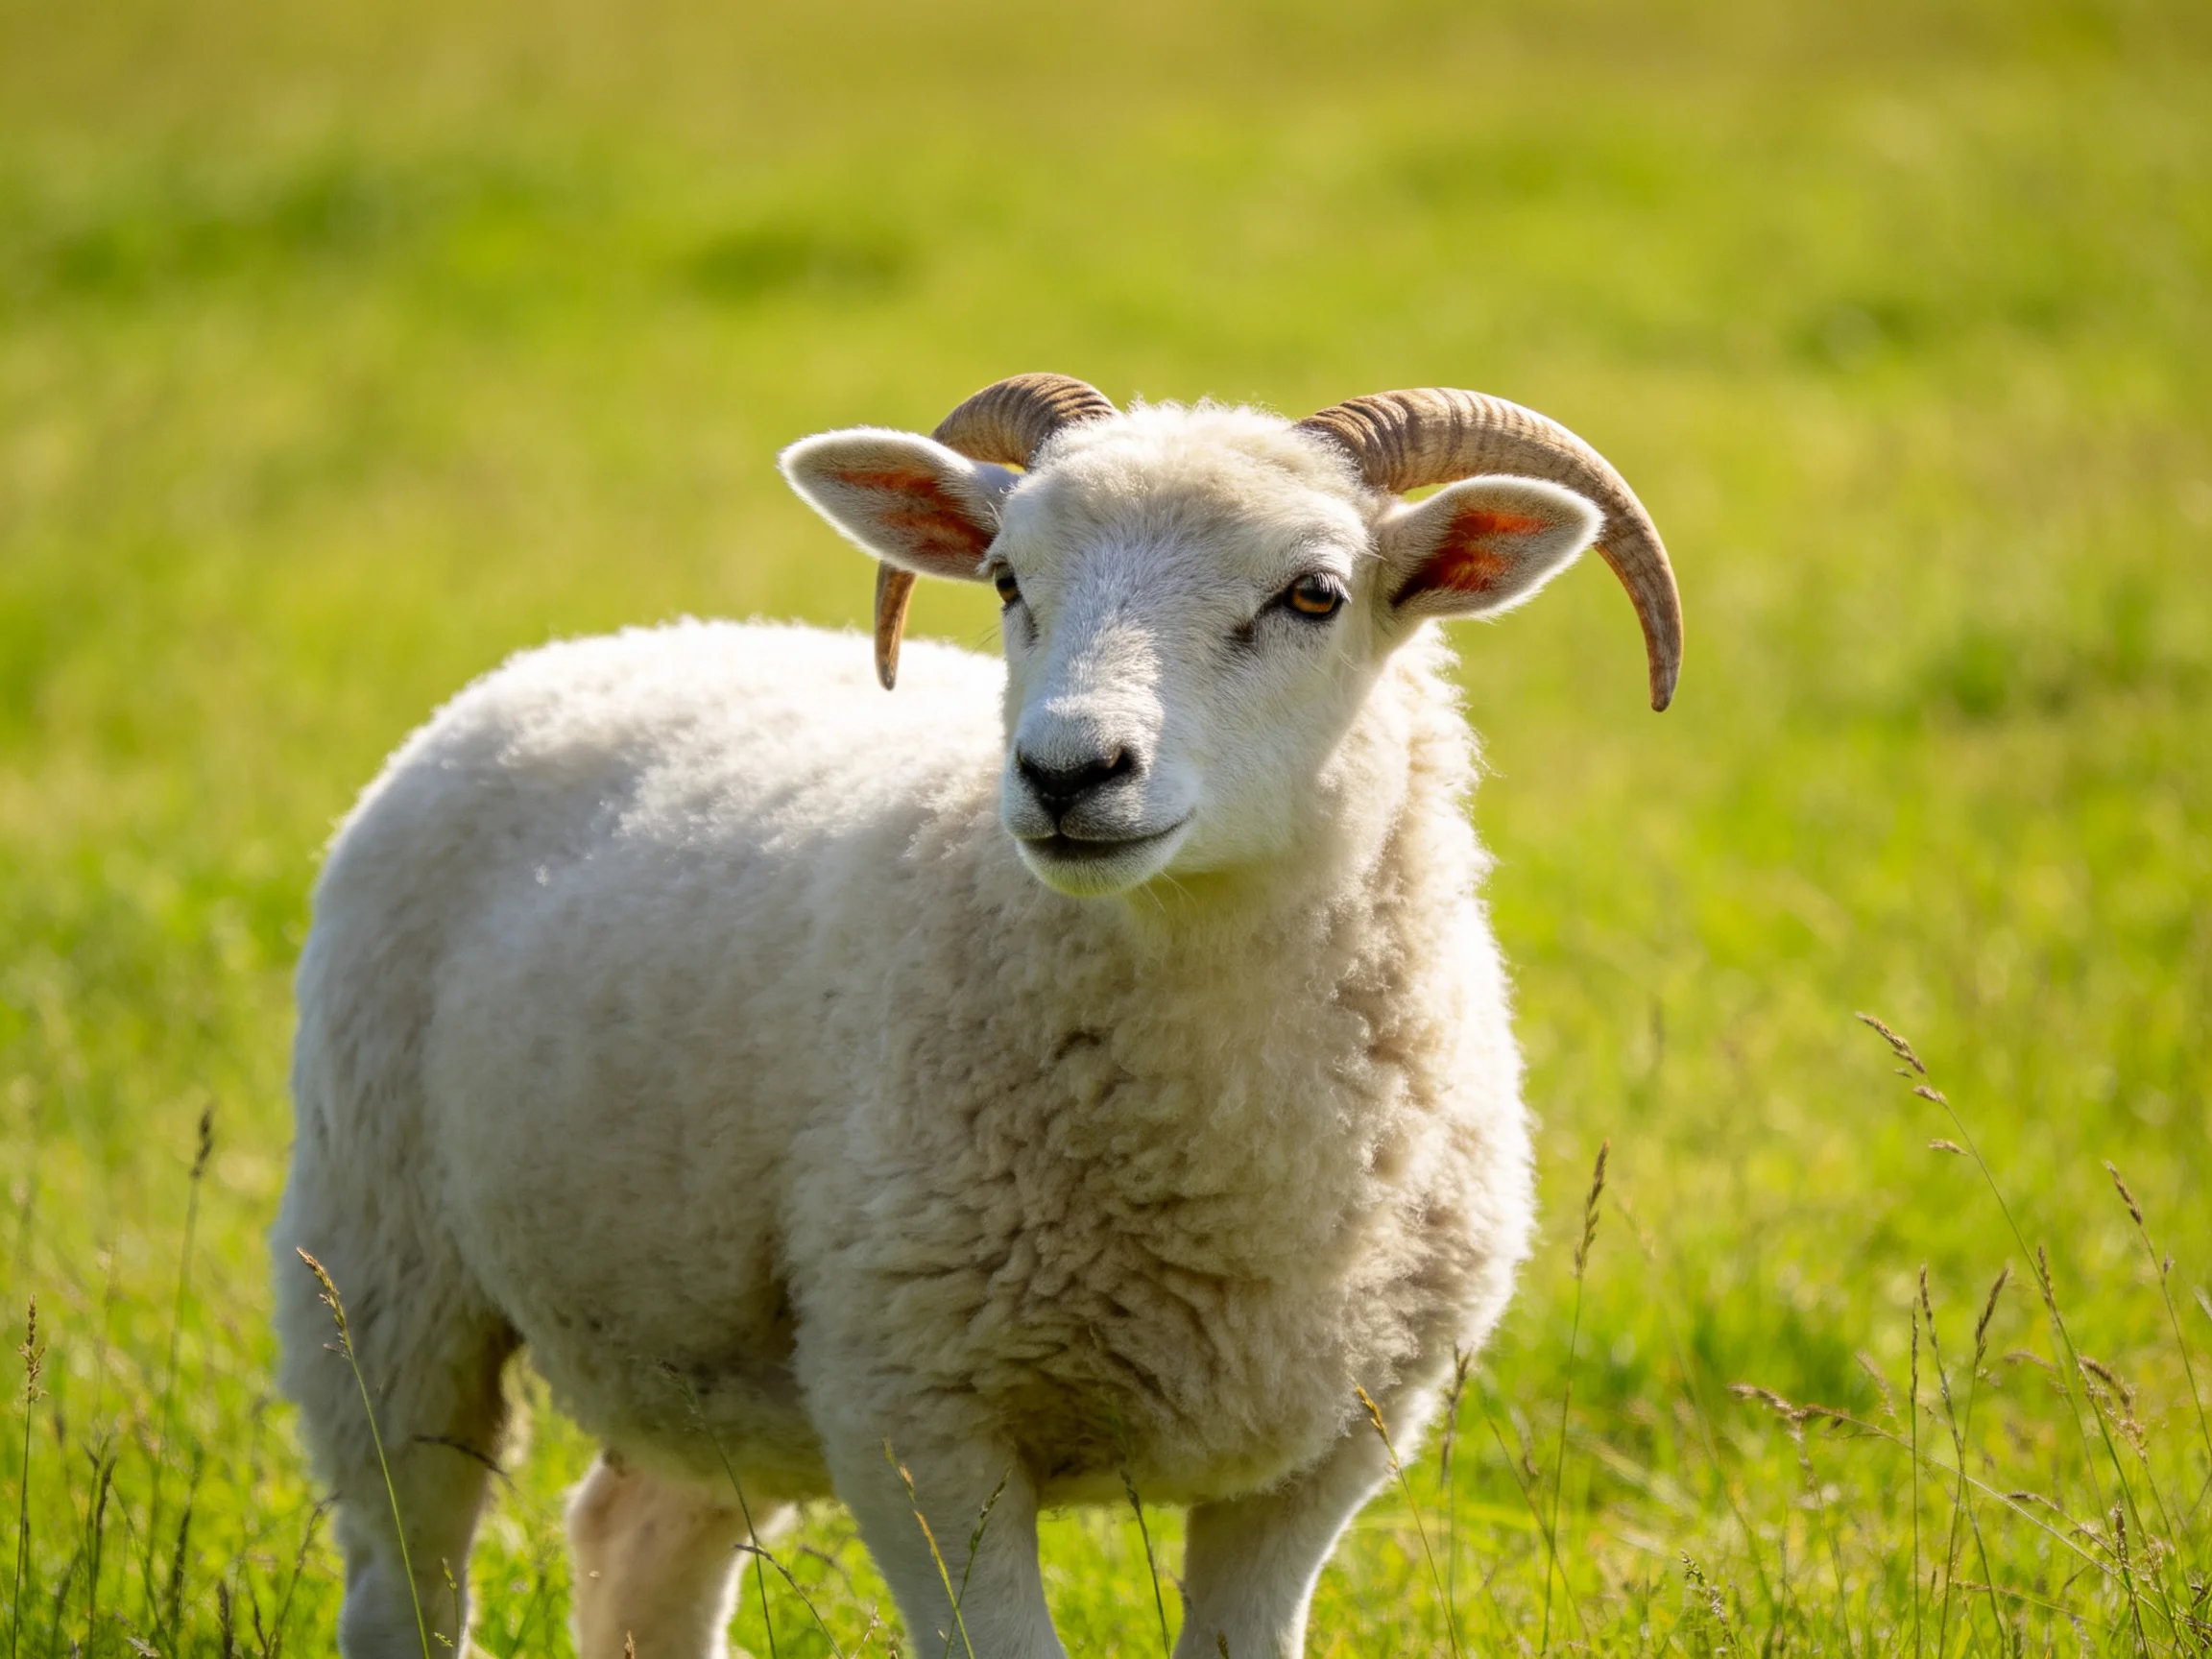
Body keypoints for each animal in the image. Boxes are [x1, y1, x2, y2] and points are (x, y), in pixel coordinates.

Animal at [270, 373, 1681, 1659]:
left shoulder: (1329, 1450)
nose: (1068, 772)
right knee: (404, 1574)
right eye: (1006, 580)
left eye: (1314, 596)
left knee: (637, 1547)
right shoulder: (916, 1418)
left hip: (698, 1349)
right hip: (378, 1264)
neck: (1217, 1174)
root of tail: (589, 649)